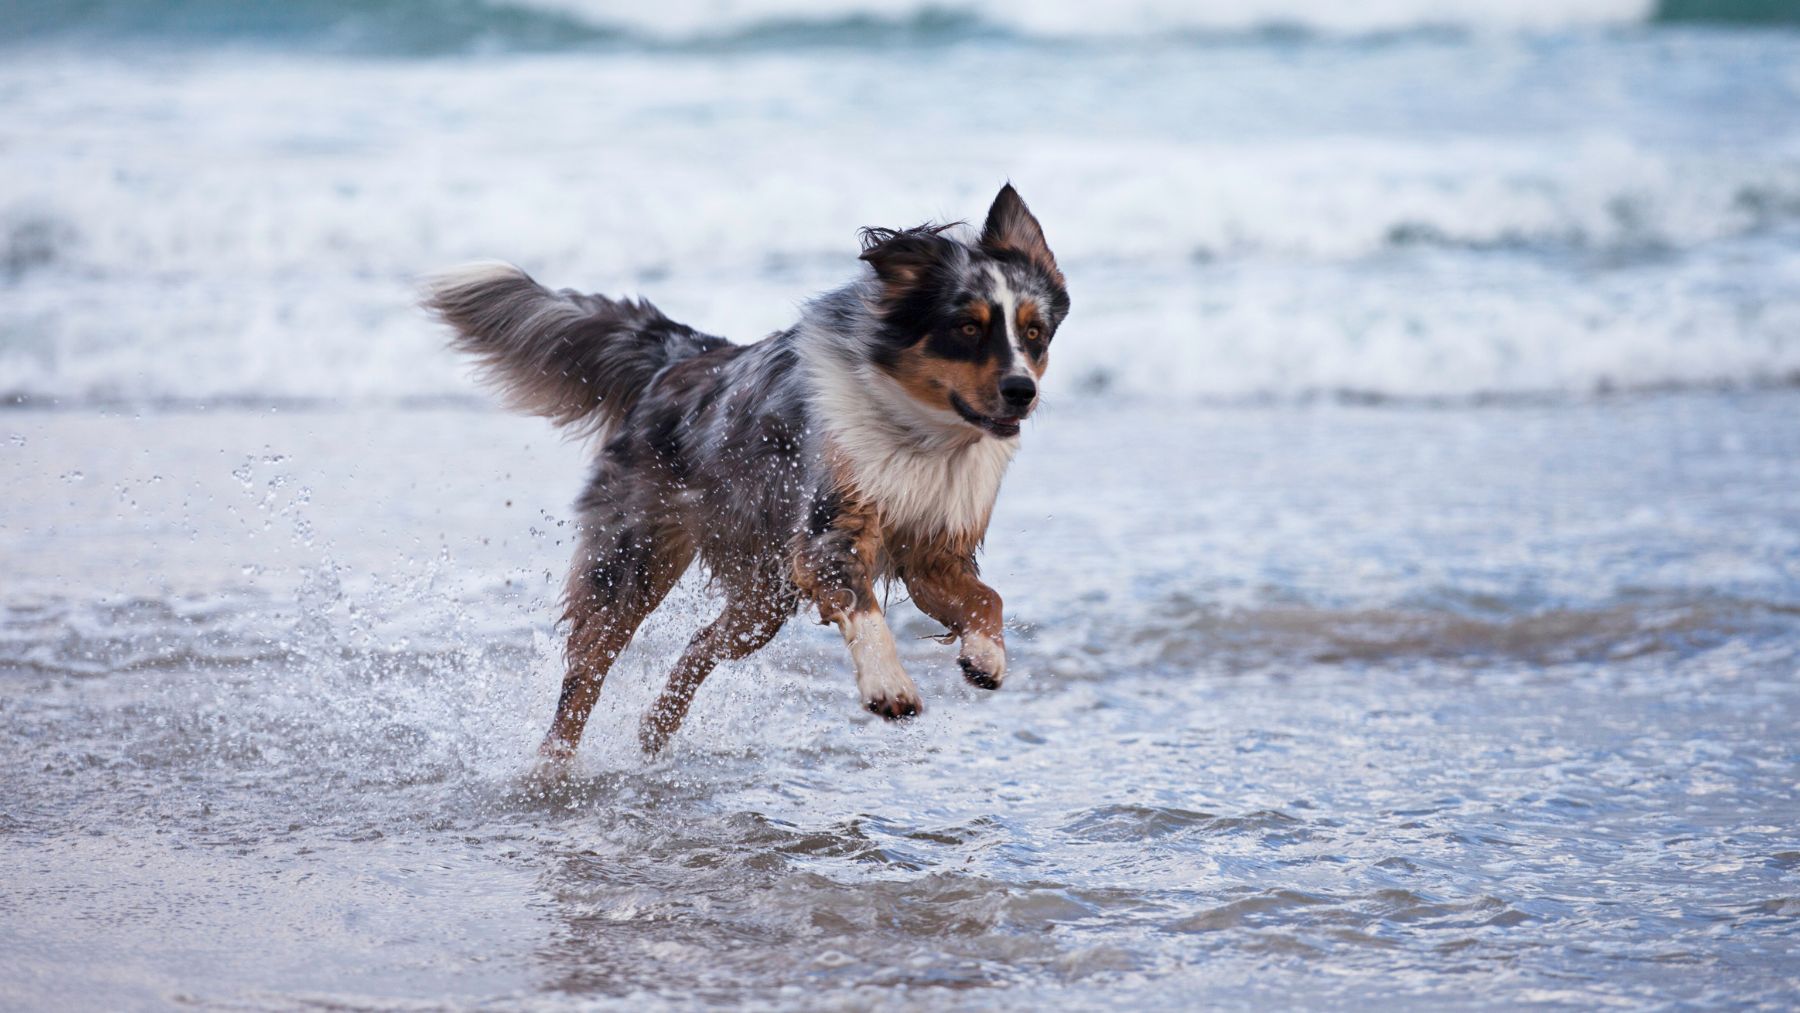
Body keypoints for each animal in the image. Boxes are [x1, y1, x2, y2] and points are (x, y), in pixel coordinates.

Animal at [421, 188, 1065, 762]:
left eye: (1033, 333)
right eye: (968, 328)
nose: (1022, 391)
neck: (920, 432)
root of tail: (681, 359)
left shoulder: (935, 549)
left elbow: (988, 599)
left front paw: (986, 656)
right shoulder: (828, 532)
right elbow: (864, 609)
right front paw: (889, 684)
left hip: (763, 594)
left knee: (700, 644)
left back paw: (655, 730)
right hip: (634, 558)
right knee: (586, 671)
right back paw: (552, 769)